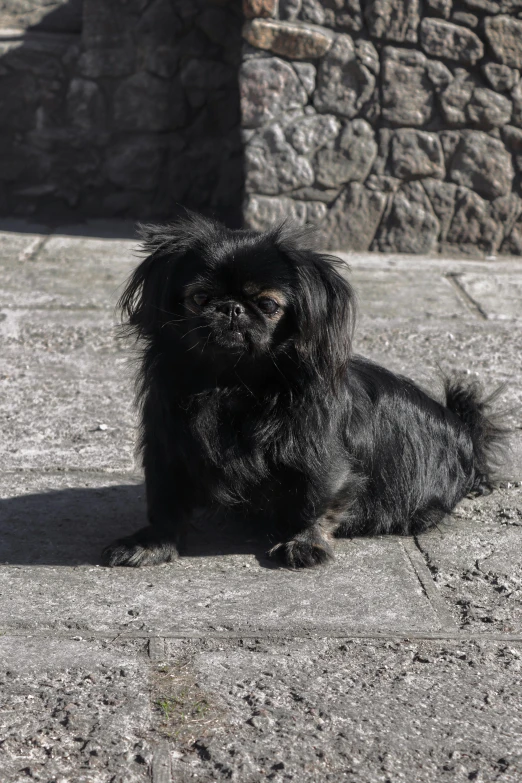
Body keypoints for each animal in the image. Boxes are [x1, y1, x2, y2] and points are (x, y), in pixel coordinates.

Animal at [101, 214, 504, 568]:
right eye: (200, 298)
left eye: (267, 304)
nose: (232, 308)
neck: (233, 383)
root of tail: (464, 430)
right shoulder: (169, 447)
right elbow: (165, 502)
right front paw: (151, 544)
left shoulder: (320, 457)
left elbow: (317, 500)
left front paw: (306, 543)